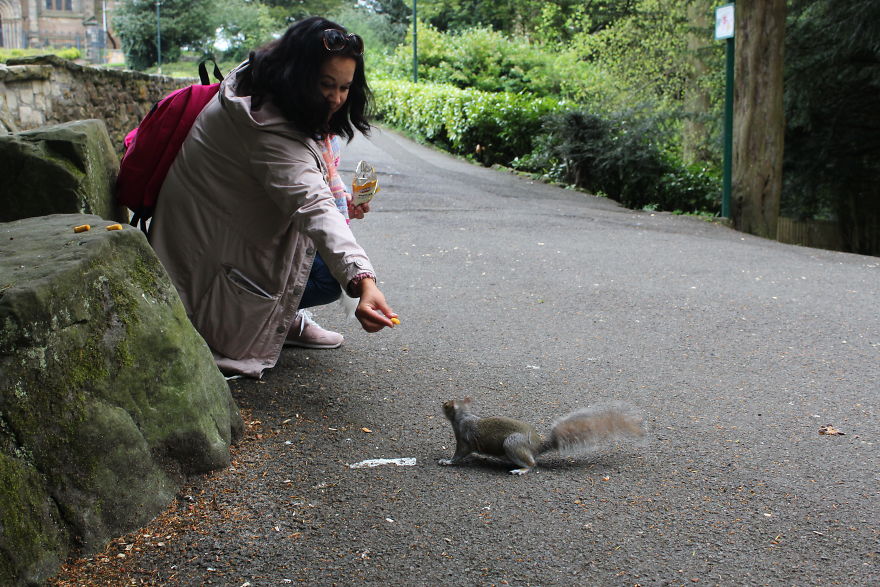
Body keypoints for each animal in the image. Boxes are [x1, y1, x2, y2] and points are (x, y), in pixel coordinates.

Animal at [438, 397, 646, 475]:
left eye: (448, 405)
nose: (442, 403)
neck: (464, 416)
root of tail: (536, 446)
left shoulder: (464, 438)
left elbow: (460, 453)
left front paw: (447, 461)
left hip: (512, 444)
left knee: (532, 464)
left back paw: (520, 470)